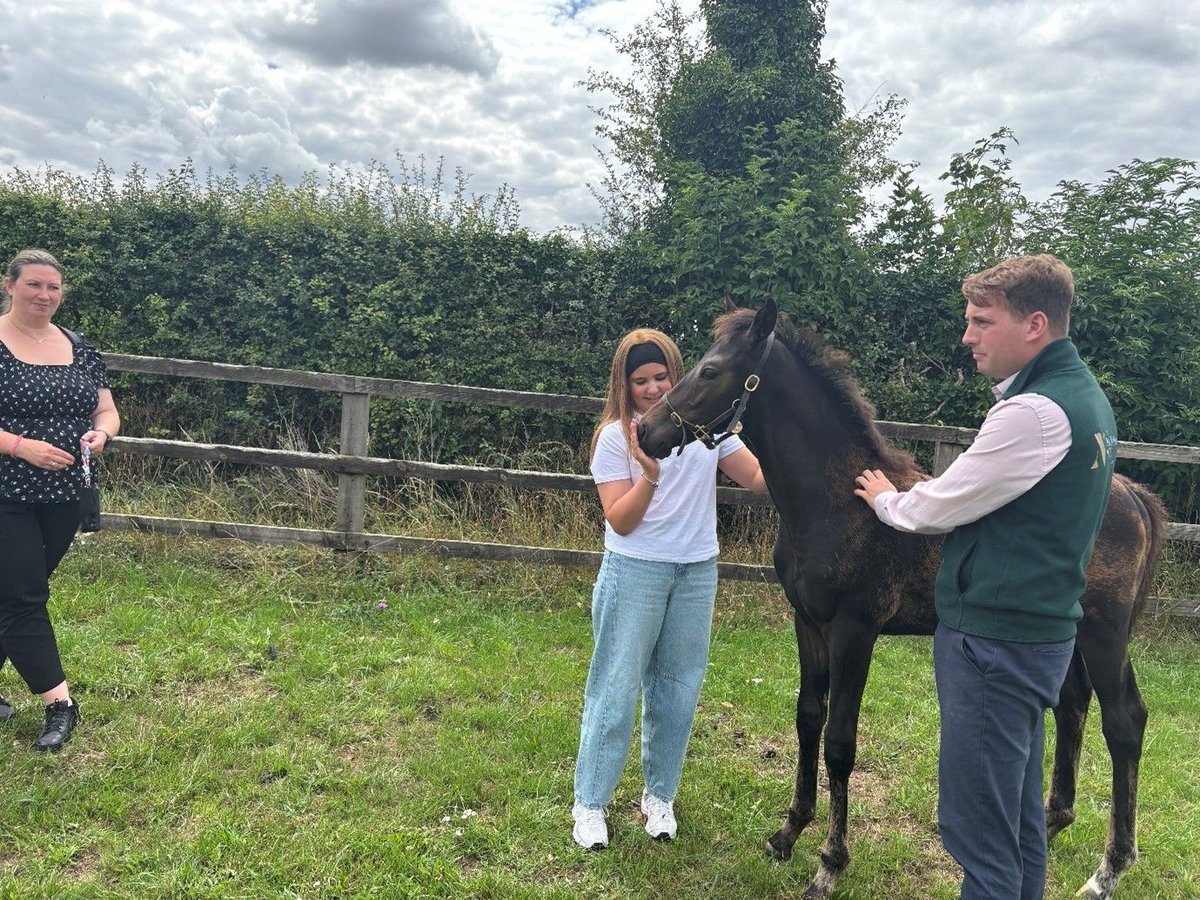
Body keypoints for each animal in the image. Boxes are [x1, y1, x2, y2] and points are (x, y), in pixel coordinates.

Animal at [637, 300, 1165, 900]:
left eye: (710, 371)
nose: (646, 430)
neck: (835, 502)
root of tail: (1133, 496)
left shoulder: (855, 629)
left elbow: (840, 742)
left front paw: (829, 864)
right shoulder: (808, 622)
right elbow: (807, 718)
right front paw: (787, 833)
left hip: (1105, 633)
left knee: (1124, 721)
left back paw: (1107, 870)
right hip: (1068, 634)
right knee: (1074, 703)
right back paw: (1051, 829)